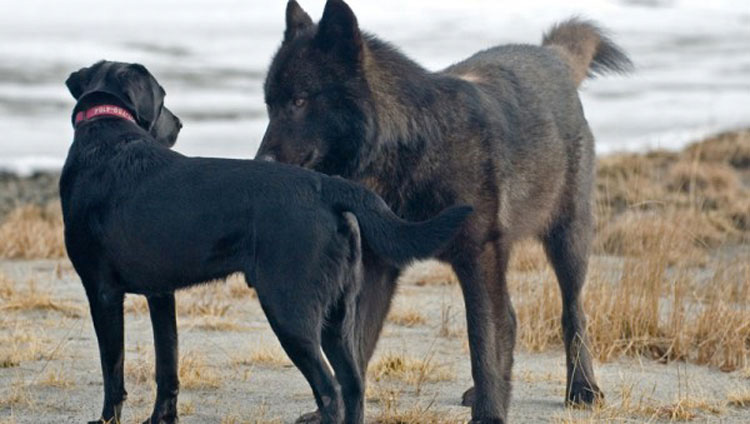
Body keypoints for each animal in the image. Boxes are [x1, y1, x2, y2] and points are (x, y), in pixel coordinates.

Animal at [60, 59, 470, 424]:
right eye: (162, 99)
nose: (178, 123)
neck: (106, 129)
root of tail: (326, 185)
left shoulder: (102, 292)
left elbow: (113, 371)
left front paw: (106, 420)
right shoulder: (161, 295)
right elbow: (168, 366)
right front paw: (160, 420)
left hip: (289, 310)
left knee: (331, 392)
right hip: (336, 314)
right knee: (353, 386)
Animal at [258, 1, 636, 422]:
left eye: (300, 100)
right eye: (270, 105)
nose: (259, 164)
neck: (409, 150)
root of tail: (551, 55)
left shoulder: (478, 258)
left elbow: (483, 339)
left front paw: (490, 414)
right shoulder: (375, 269)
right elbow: (354, 351)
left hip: (568, 242)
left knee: (571, 313)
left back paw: (582, 388)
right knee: (511, 319)